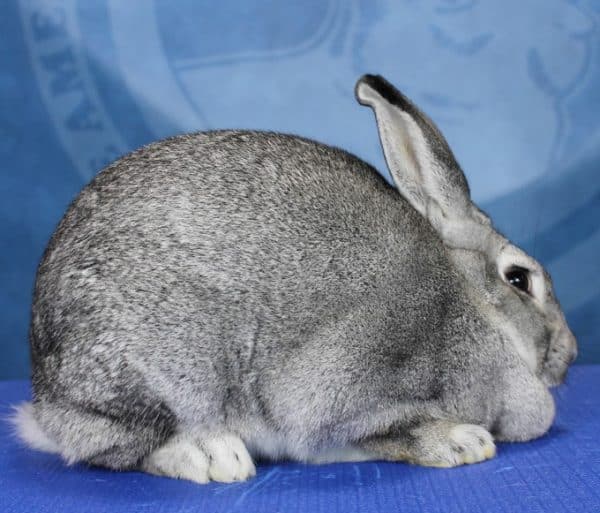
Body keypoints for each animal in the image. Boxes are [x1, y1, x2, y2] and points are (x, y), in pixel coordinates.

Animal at [12, 74, 576, 482]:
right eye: (520, 280)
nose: (570, 353)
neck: (474, 305)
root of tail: (46, 400)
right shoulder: (339, 389)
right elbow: (382, 428)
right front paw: (462, 442)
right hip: (165, 372)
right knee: (114, 446)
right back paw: (213, 456)